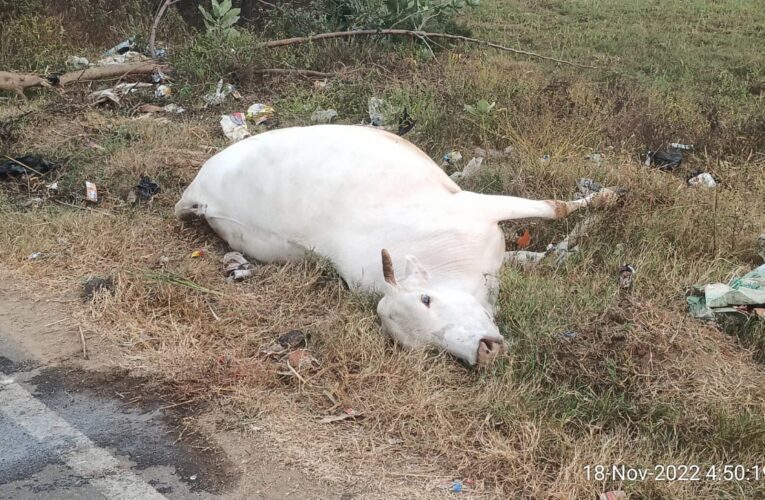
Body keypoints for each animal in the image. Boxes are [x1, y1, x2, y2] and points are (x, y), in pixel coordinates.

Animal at [176, 125, 616, 368]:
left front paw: (605, 201)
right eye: (423, 346)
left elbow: (554, 211)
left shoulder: (481, 208)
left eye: (426, 298)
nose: (483, 352)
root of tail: (197, 192)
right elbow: (543, 241)